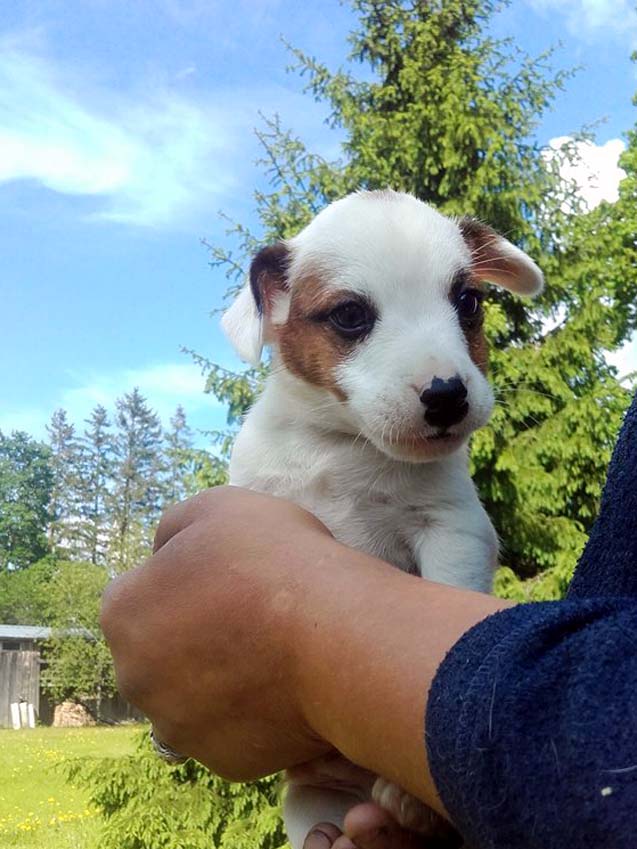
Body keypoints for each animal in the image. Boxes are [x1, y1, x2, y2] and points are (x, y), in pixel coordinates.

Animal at [221, 189, 543, 847]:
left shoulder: (452, 531)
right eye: (350, 315)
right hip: (312, 803)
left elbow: (448, 585)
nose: (447, 394)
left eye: (468, 302)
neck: (344, 445)